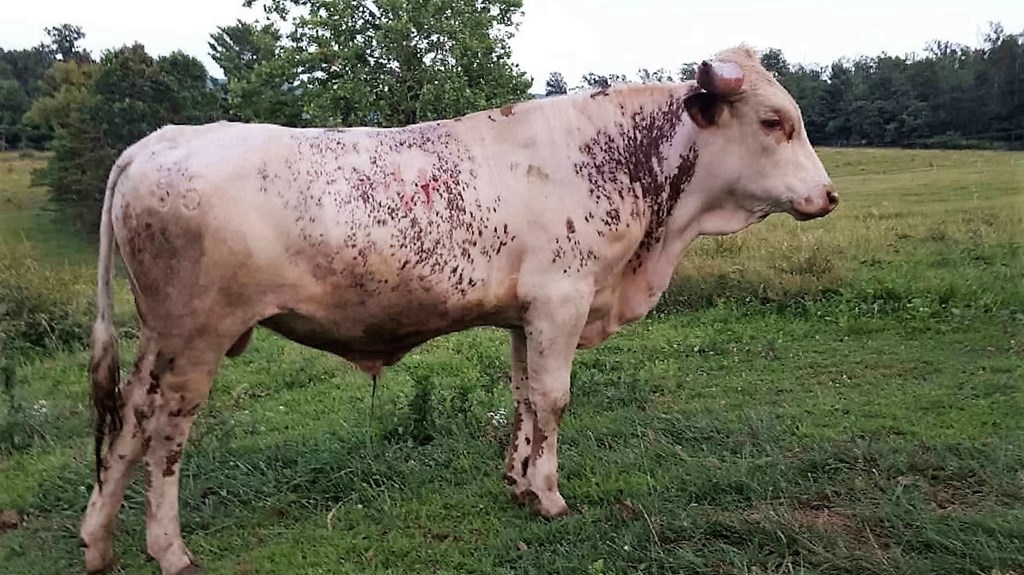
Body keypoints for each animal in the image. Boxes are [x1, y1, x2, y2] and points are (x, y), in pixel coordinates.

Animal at [80, 45, 838, 574]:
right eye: (774, 121)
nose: (829, 195)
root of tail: (160, 138)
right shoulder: (563, 299)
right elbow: (554, 398)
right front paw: (550, 495)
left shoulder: (527, 314)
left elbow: (524, 395)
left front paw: (518, 483)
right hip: (196, 335)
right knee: (166, 433)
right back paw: (168, 548)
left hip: (160, 338)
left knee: (127, 420)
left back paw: (98, 542)